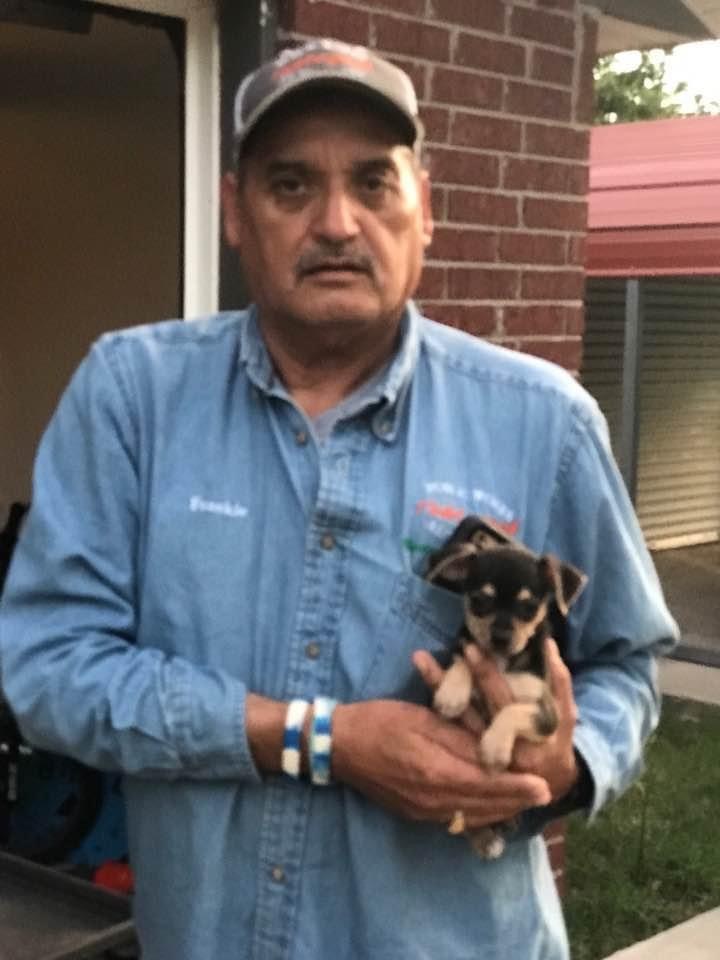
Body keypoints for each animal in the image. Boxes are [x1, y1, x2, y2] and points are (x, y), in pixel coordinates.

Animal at [425, 516, 586, 858]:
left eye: (528, 607)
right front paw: (452, 693)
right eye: (480, 602)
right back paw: (483, 837)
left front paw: (494, 747)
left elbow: (513, 710)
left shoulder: (547, 716)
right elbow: (466, 654)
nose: (500, 637)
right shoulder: (469, 649)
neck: (502, 661)